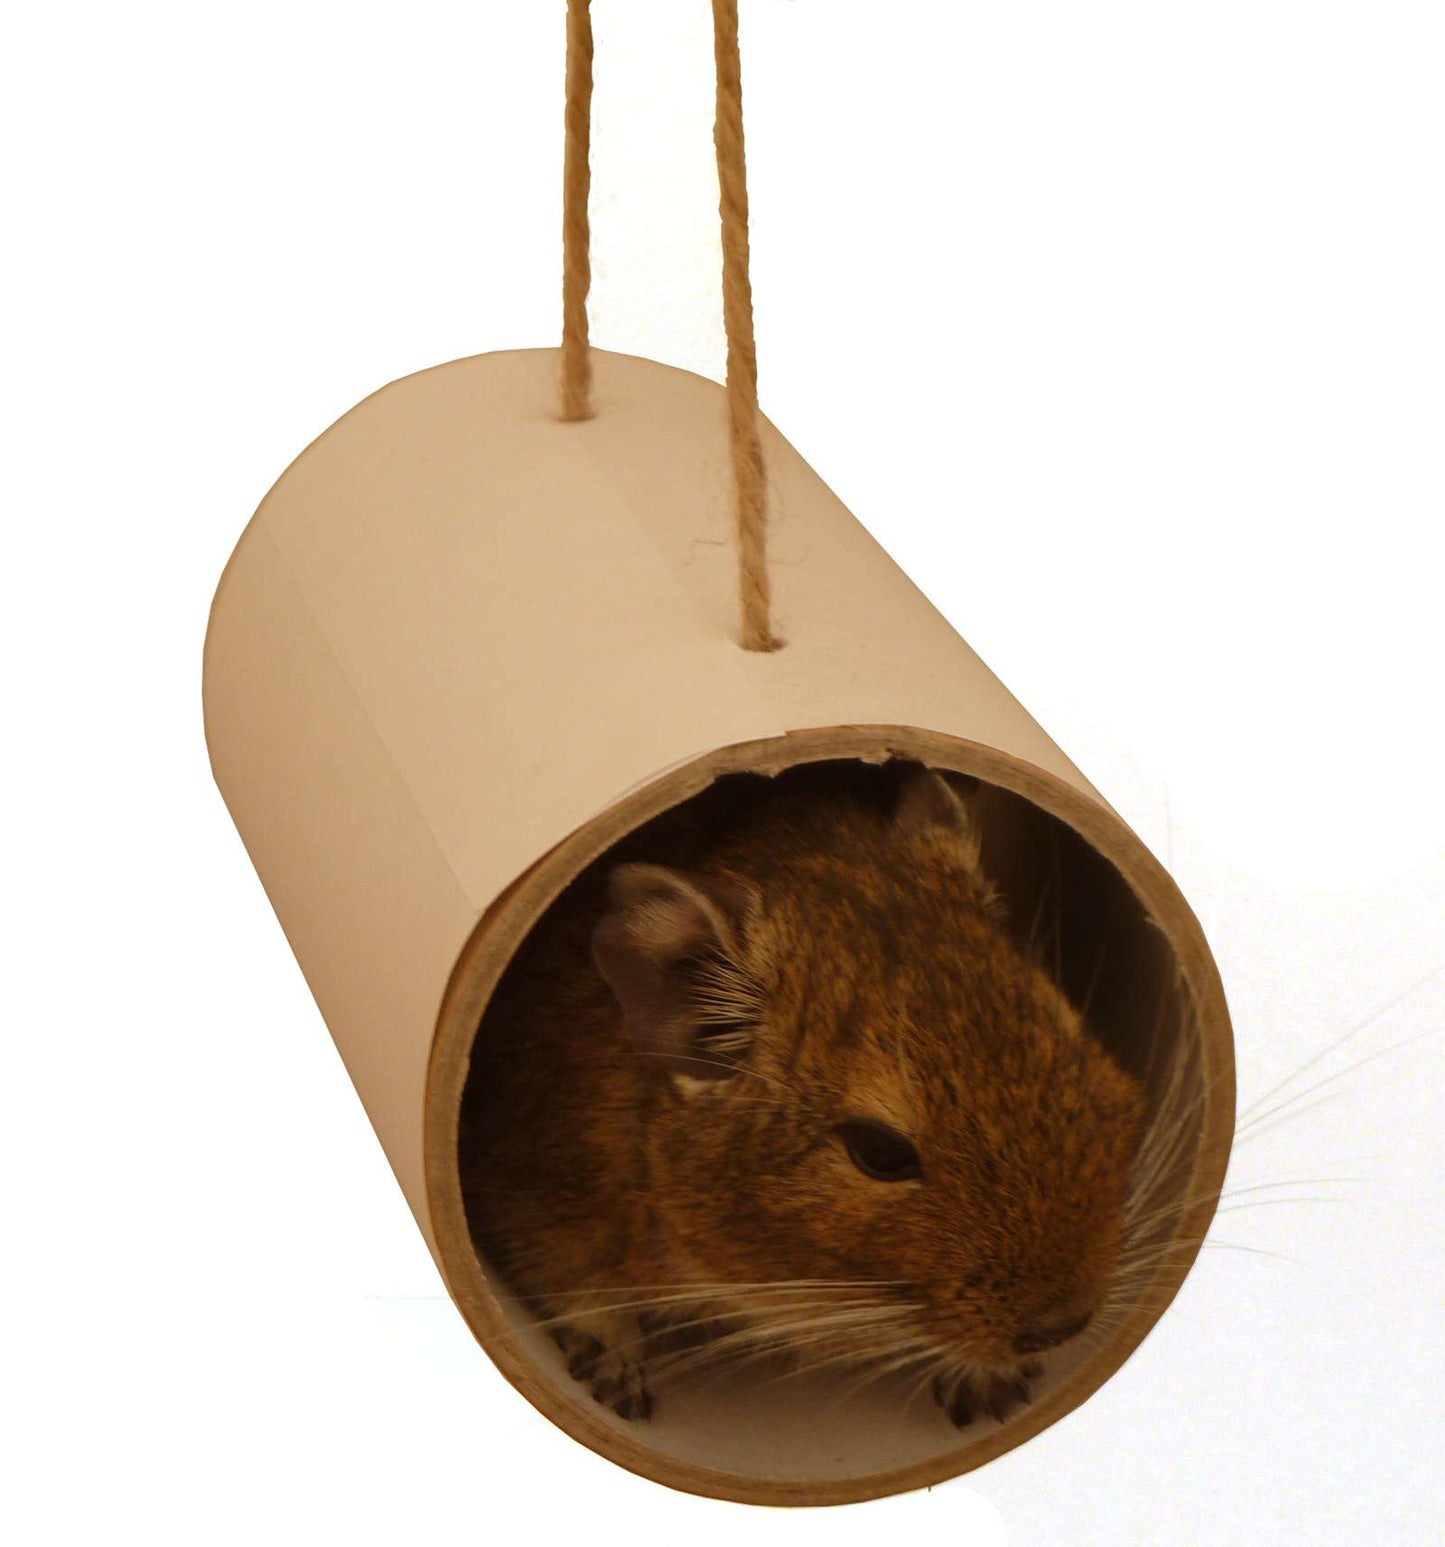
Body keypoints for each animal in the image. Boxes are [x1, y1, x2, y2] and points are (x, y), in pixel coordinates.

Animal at [458, 761, 1147, 1427]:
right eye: (878, 1153)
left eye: (1073, 1046)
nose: (1066, 1326)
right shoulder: (537, 1195)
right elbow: (581, 1298)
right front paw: (621, 1389)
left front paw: (993, 1392)